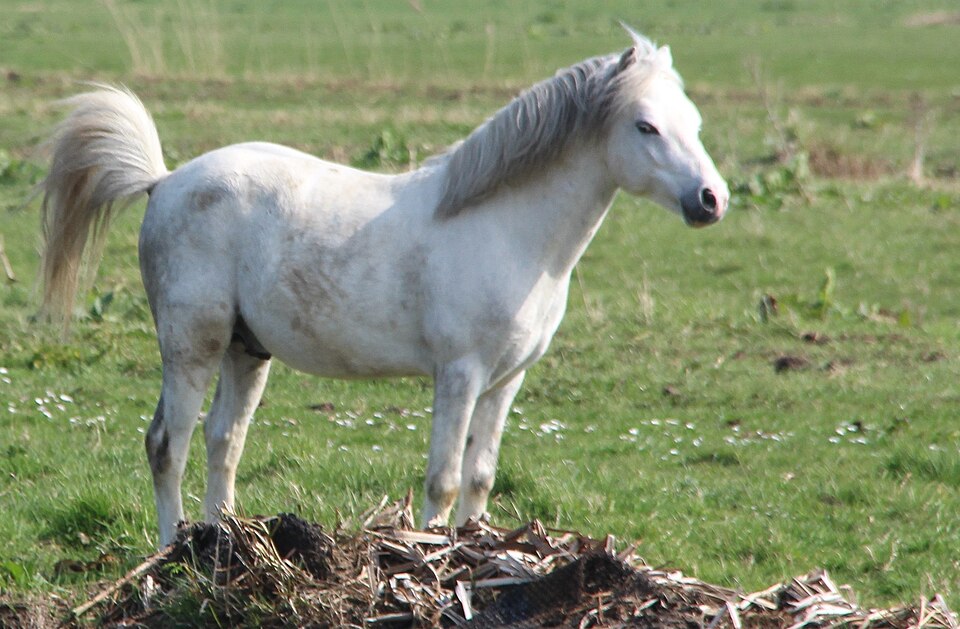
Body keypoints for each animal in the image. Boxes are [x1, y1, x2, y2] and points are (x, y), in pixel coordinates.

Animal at [38, 29, 728, 547]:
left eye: (693, 122)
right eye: (645, 127)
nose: (711, 200)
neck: (508, 230)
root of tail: (165, 180)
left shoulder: (506, 381)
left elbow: (479, 479)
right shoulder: (460, 374)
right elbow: (443, 480)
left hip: (246, 351)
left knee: (222, 442)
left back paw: (220, 544)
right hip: (192, 348)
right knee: (167, 446)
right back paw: (169, 553)